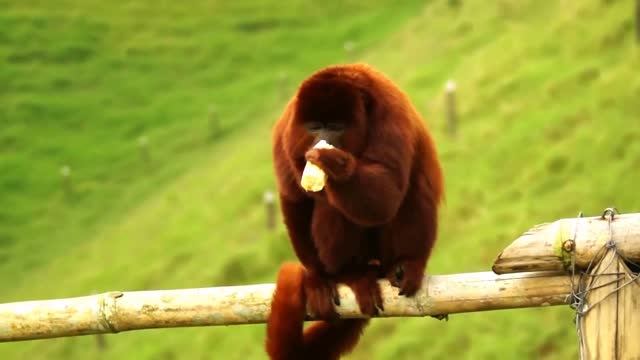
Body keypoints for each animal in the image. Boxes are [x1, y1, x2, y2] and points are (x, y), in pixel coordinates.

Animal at [268, 63, 442, 358]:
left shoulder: (390, 114)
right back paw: (349, 273)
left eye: (336, 127)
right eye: (315, 127)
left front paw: (336, 164)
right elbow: (295, 201)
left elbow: (387, 193)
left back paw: (406, 264)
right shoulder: (286, 134)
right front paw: (317, 278)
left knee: (408, 187)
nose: (322, 139)